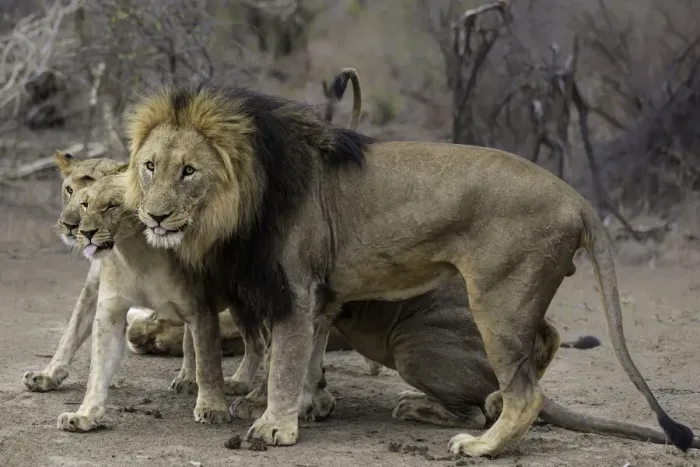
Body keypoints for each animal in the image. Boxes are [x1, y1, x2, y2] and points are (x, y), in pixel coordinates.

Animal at [22, 151, 125, 393]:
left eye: (96, 201)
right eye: (69, 190)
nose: (68, 225)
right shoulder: (97, 284)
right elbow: (73, 329)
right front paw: (48, 376)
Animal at [123, 80, 694, 457]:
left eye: (189, 171)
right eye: (150, 166)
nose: (155, 216)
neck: (243, 199)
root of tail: (577, 199)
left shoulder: (297, 290)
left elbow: (284, 362)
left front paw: (274, 427)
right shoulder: (321, 297)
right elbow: (305, 360)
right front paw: (305, 407)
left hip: (496, 302)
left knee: (524, 394)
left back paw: (479, 445)